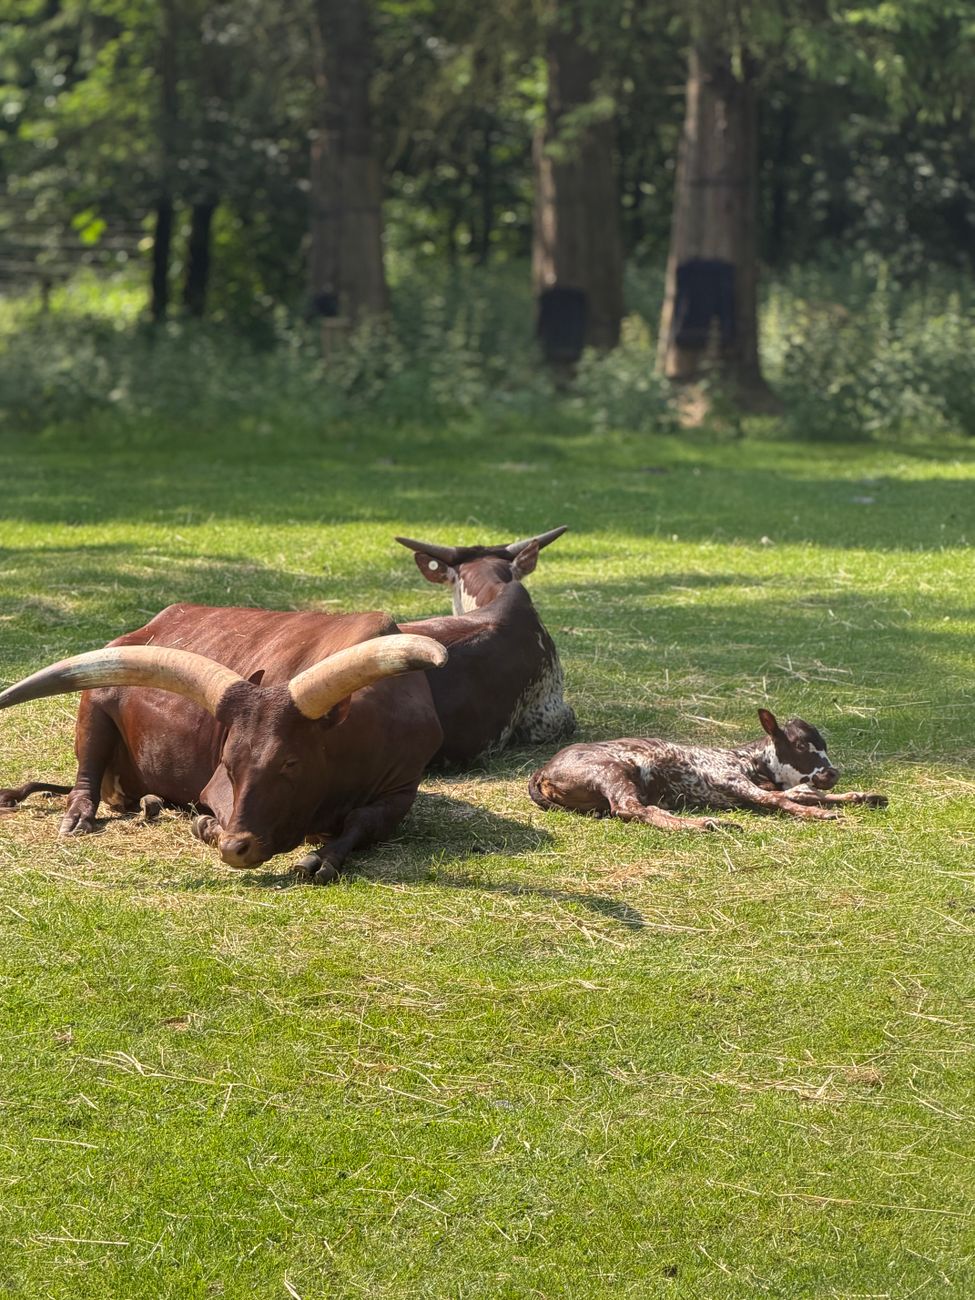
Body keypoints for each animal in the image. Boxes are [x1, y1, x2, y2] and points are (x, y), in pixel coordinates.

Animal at [0, 604, 447, 883]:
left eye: (290, 762)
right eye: (228, 763)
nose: (236, 848)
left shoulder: (402, 790)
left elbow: (362, 821)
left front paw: (323, 858)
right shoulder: (214, 785)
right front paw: (208, 827)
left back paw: (150, 803)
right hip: (95, 703)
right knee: (86, 776)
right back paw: (79, 815)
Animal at [528, 708, 887, 830]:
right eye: (800, 747)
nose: (832, 773)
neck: (748, 760)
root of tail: (543, 771)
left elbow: (807, 794)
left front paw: (863, 796)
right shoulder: (731, 781)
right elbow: (780, 800)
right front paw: (820, 814)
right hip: (612, 772)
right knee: (632, 809)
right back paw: (706, 824)